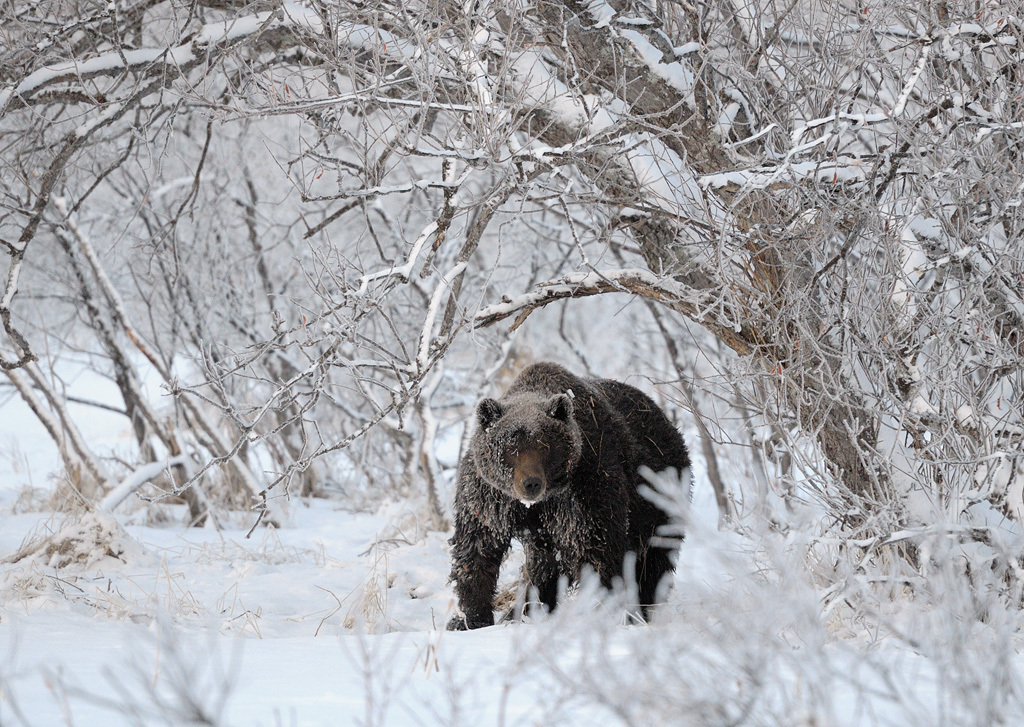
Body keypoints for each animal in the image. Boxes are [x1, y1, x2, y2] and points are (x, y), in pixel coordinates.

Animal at [446, 362, 688, 630]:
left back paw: (642, 611)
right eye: (510, 447)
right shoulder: (490, 497)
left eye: (543, 445)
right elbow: (477, 549)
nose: (531, 483)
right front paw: (469, 618)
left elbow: (596, 550)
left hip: (659, 499)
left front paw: (602, 612)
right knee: (543, 567)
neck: (536, 503)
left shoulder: (585, 490)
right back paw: (525, 610)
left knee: (654, 561)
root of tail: (664, 418)